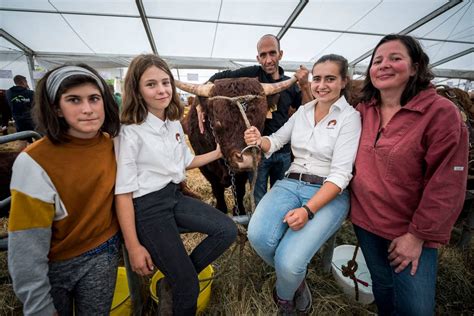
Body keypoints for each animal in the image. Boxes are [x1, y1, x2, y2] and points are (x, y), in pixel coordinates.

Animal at [177, 76, 294, 215]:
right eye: (217, 122)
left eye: (261, 119)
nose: (248, 159)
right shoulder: (207, 169)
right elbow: (217, 190)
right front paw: (221, 209)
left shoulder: (241, 175)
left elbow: (239, 191)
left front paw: (240, 211)